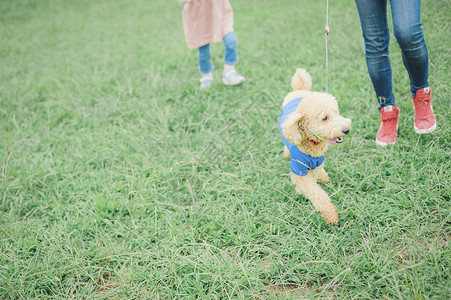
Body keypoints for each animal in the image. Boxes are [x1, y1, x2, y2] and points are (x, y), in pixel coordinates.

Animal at [278, 68, 354, 225]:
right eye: (324, 118)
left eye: (336, 112)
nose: (346, 130)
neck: (313, 143)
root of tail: (298, 90)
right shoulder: (299, 168)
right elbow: (316, 192)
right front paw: (330, 215)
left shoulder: (317, 163)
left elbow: (315, 184)